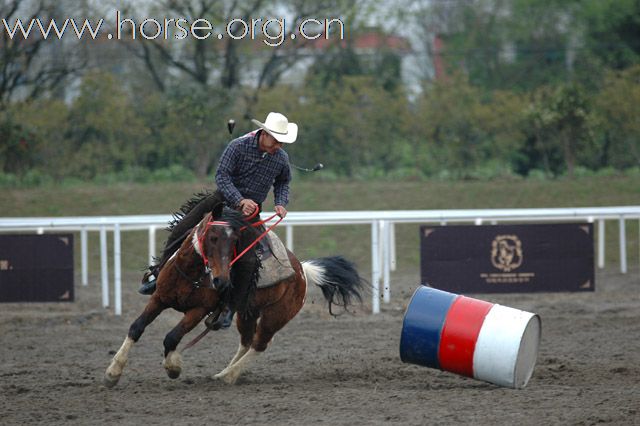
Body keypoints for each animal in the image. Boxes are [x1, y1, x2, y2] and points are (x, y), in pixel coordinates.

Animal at [104, 202, 364, 386]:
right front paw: (113, 372)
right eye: (212, 237)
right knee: (247, 342)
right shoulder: (159, 299)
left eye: (235, 242)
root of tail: (301, 268)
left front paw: (173, 367)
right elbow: (136, 327)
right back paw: (224, 372)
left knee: (259, 344)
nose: (221, 280)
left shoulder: (198, 311)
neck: (192, 273)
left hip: (276, 315)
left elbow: (172, 337)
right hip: (247, 313)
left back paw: (228, 375)